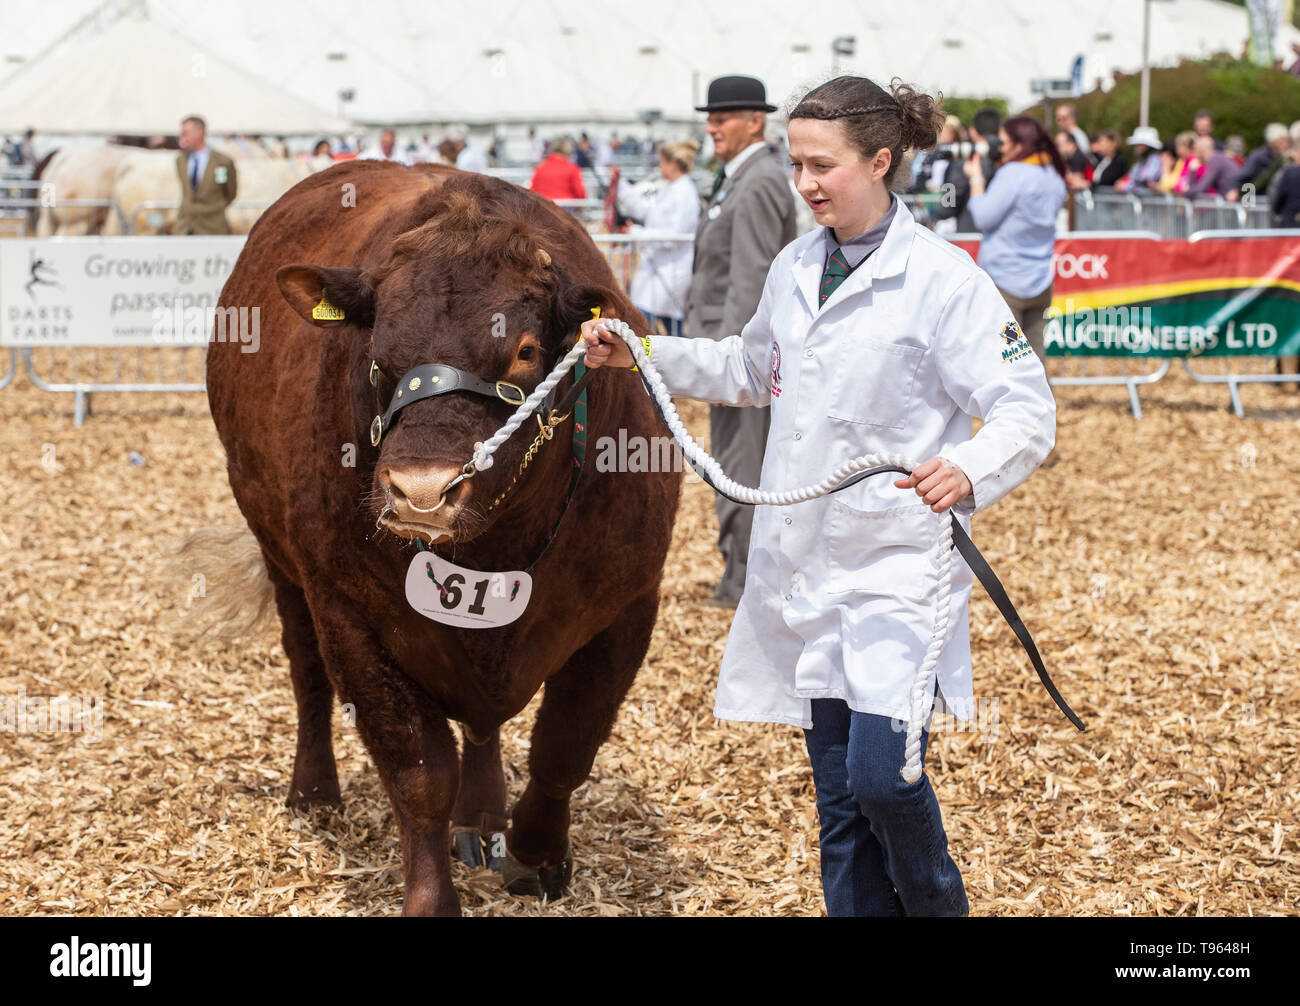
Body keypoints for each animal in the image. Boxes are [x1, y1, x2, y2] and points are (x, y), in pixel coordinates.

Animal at [202, 161, 681, 920]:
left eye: (524, 352)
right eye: (378, 354)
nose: (422, 489)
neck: (496, 549)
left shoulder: (628, 604)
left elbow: (566, 744)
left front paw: (537, 854)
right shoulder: (350, 611)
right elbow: (418, 771)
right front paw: (432, 897)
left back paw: (483, 816)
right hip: (280, 558)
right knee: (307, 675)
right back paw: (314, 792)